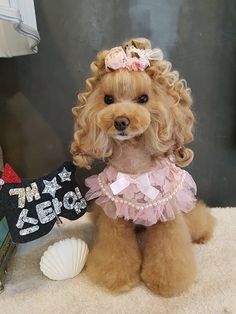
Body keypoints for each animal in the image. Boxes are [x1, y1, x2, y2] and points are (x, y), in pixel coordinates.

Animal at [70, 38, 216, 296]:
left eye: (144, 99)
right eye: (108, 99)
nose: (120, 121)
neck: (134, 170)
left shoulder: (167, 214)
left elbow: (169, 253)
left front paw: (167, 283)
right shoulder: (113, 216)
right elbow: (116, 251)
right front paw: (118, 279)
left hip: (188, 213)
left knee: (198, 220)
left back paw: (204, 232)